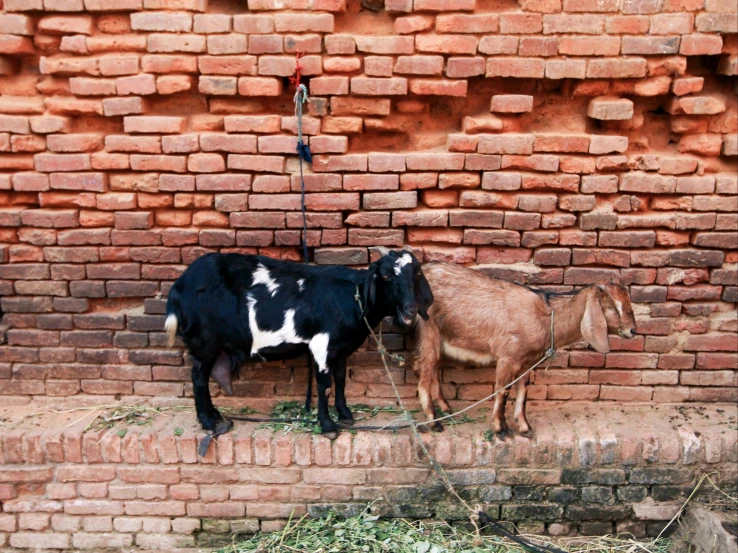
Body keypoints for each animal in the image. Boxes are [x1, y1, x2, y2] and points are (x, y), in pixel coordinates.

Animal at [165, 248, 432, 438]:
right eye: (386, 276)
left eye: (416, 273)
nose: (410, 310)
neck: (352, 296)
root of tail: (178, 287)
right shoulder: (322, 344)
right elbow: (324, 384)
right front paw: (328, 426)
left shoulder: (340, 348)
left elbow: (341, 379)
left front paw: (345, 414)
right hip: (204, 340)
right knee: (198, 378)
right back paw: (208, 422)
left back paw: (216, 416)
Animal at [412, 260, 636, 438]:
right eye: (612, 307)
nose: (632, 330)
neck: (545, 318)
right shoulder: (508, 357)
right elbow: (503, 392)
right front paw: (501, 429)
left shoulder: (528, 361)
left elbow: (523, 392)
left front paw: (524, 427)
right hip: (429, 329)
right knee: (423, 372)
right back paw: (433, 421)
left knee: (431, 369)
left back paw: (446, 409)